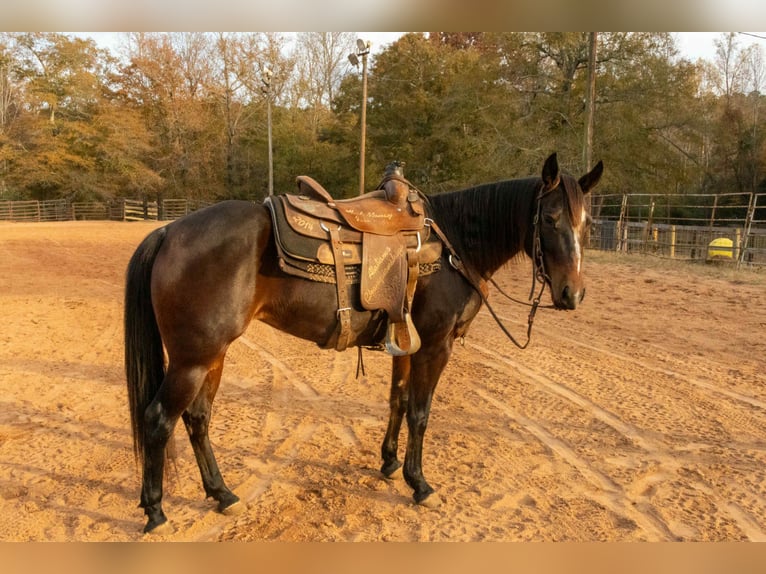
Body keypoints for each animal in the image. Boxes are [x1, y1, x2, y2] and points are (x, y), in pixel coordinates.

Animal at [124, 152, 603, 533]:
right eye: (550, 219)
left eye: (588, 224)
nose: (573, 295)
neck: (455, 244)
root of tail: (168, 231)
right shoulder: (435, 346)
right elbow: (420, 413)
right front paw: (420, 483)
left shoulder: (406, 342)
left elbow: (397, 401)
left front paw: (390, 464)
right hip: (193, 358)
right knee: (159, 420)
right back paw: (156, 513)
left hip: (213, 355)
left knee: (197, 419)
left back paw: (222, 494)